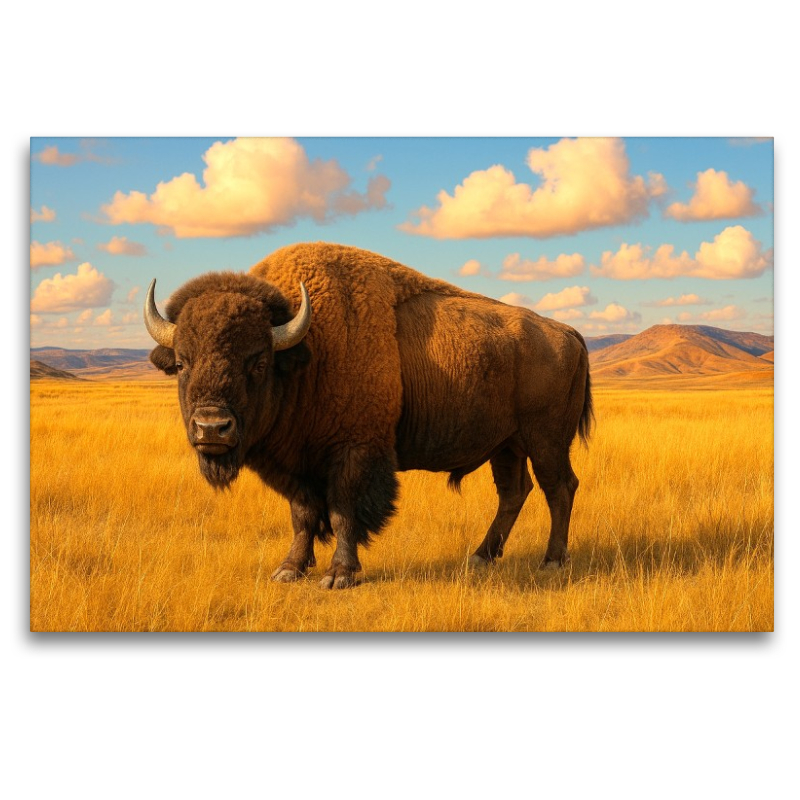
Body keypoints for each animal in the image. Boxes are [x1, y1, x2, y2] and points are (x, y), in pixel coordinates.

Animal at [145, 243, 593, 589]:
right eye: (182, 363)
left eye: (257, 361)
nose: (211, 428)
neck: (309, 351)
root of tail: (568, 333)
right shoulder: (295, 468)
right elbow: (303, 515)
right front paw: (289, 569)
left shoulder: (355, 453)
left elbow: (343, 512)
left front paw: (339, 575)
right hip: (507, 445)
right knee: (514, 492)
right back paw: (482, 556)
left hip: (546, 441)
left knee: (560, 487)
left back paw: (552, 561)